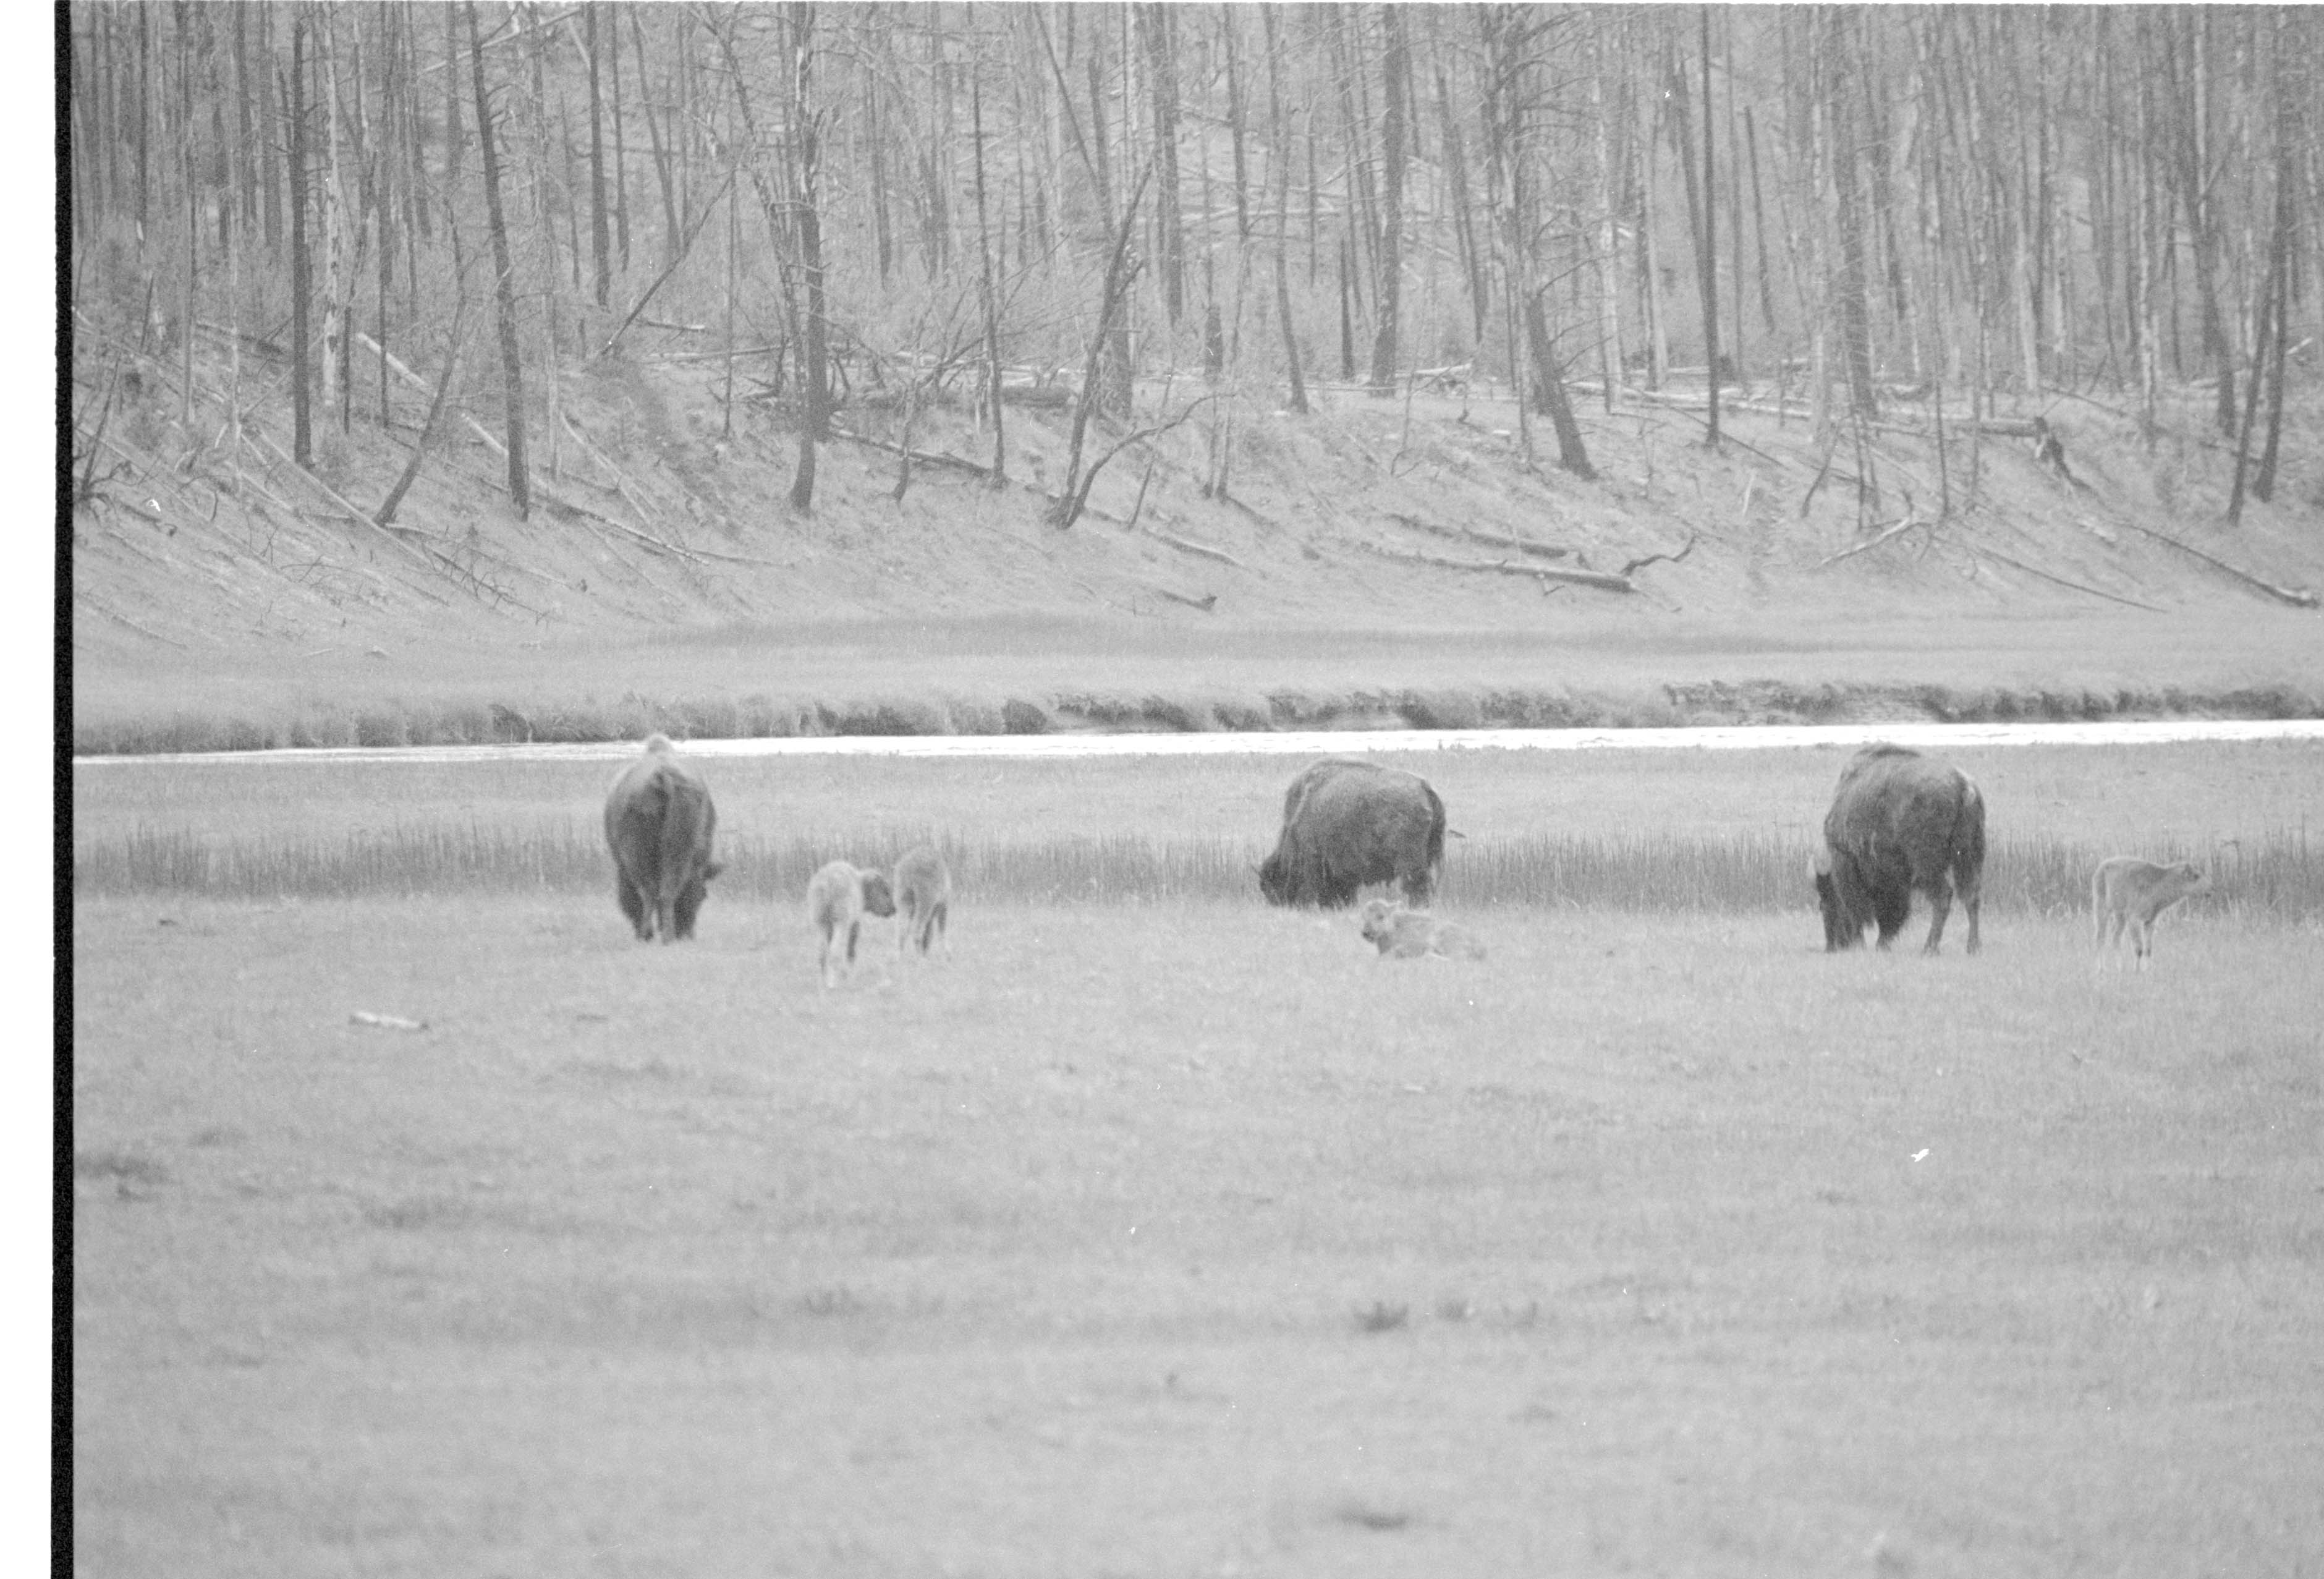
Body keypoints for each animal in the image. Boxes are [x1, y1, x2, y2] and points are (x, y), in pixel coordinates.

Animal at [604, 734, 723, 942]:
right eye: (704, 895)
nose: (688, 934)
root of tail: (664, 777)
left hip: (638, 853)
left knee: (651, 891)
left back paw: (650, 935)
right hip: (679, 850)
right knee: (668, 891)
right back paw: (667, 935)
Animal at [1258, 757, 1445, 909]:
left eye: (1273, 882)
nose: (1280, 905)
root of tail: (1424, 786)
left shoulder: (1314, 859)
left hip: (1409, 860)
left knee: (1416, 884)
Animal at [1814, 743, 1984, 955]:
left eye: (1826, 899)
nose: (1831, 947)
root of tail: (1963, 784)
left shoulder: (1851, 864)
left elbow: (1860, 908)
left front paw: (1869, 943)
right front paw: (1881, 945)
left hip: (1928, 866)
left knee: (1944, 897)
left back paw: (1929, 948)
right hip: (1969, 857)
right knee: (1972, 896)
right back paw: (1973, 947)